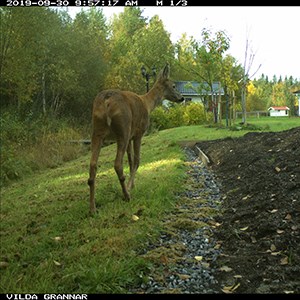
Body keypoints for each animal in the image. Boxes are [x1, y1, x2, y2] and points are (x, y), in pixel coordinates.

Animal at [88, 63, 184, 213]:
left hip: (98, 131)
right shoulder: (138, 133)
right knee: (117, 163)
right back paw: (126, 196)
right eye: (174, 85)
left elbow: (131, 160)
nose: (182, 98)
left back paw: (93, 208)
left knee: (93, 165)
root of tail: (106, 100)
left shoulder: (131, 137)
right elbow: (137, 160)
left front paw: (131, 185)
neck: (147, 104)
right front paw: (129, 187)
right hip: (123, 128)